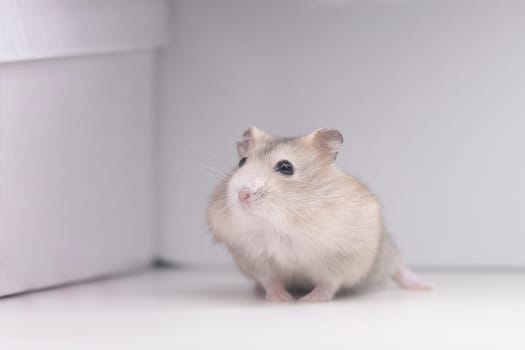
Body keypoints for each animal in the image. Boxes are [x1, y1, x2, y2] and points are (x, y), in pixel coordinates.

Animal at [206, 127, 430, 302]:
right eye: (242, 162)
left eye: (286, 167)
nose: (242, 195)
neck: (278, 224)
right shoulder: (255, 258)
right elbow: (271, 281)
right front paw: (282, 299)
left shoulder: (340, 256)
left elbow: (328, 283)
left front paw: (309, 300)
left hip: (387, 253)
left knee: (399, 269)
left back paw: (425, 286)